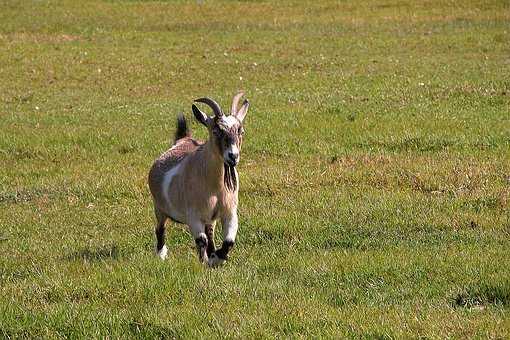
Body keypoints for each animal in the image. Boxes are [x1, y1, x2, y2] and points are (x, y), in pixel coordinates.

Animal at [146, 91, 250, 266]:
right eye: (215, 131)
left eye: (240, 131)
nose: (233, 156)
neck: (215, 187)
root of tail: (183, 139)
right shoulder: (193, 215)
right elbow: (201, 240)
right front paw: (205, 261)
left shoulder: (229, 211)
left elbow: (228, 241)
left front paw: (216, 257)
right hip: (159, 207)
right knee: (160, 228)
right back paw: (161, 254)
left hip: (209, 217)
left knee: (210, 232)